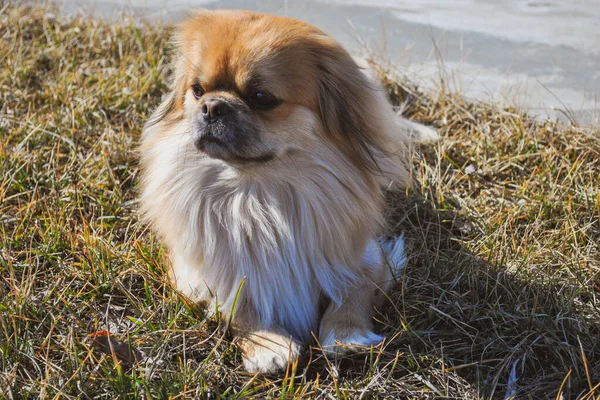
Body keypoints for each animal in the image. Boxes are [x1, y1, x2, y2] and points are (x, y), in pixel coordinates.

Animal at [139, 9, 436, 374]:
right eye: (197, 90)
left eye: (262, 98)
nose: (211, 106)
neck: (256, 197)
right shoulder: (195, 271)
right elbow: (236, 300)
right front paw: (267, 344)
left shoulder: (368, 256)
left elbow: (352, 290)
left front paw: (346, 335)